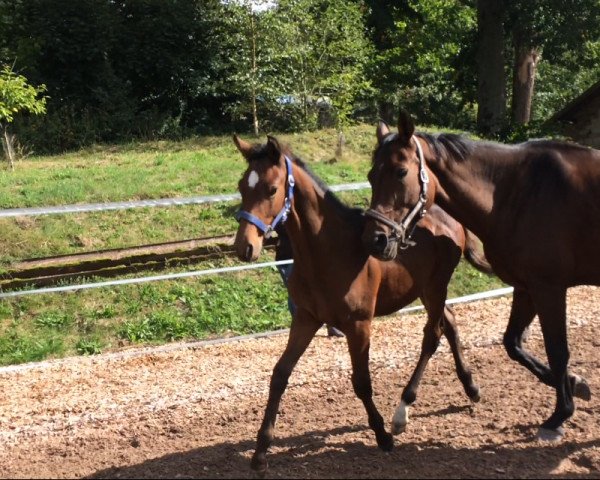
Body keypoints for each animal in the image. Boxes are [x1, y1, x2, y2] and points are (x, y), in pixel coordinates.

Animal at [232, 132, 490, 472]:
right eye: (241, 186)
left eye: (272, 189)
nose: (244, 247)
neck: (328, 251)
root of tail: (448, 215)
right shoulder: (306, 319)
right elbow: (279, 375)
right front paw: (261, 452)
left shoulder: (358, 325)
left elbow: (362, 382)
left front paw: (382, 436)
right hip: (425, 289)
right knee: (449, 321)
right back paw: (471, 388)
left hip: (436, 286)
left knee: (432, 335)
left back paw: (402, 414)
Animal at [360, 110, 600, 440]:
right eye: (371, 175)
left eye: (400, 171)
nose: (376, 239)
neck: (518, 192)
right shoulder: (527, 287)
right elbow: (513, 344)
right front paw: (574, 385)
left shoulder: (549, 287)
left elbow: (558, 350)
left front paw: (560, 414)